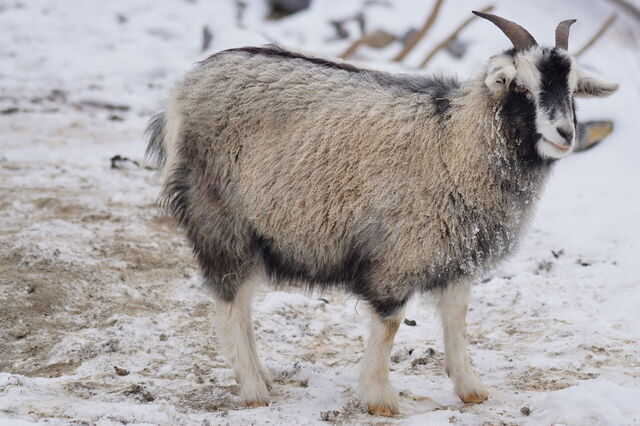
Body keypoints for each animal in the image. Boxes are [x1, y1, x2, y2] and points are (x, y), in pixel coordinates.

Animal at [146, 11, 618, 415]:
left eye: (572, 90)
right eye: (521, 88)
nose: (565, 133)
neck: (454, 142)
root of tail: (182, 92)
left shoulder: (456, 253)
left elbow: (457, 319)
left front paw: (471, 389)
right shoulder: (399, 253)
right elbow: (390, 324)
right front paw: (380, 399)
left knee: (240, 303)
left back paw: (262, 377)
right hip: (221, 220)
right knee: (229, 301)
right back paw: (253, 389)